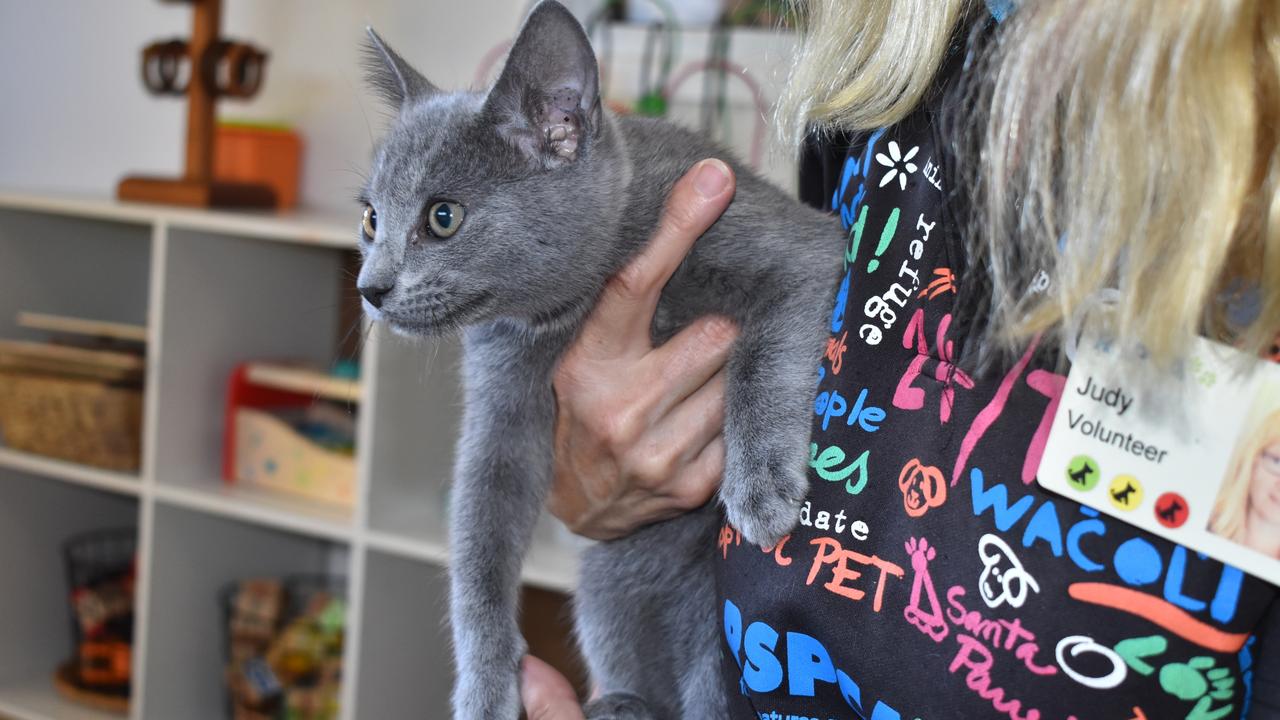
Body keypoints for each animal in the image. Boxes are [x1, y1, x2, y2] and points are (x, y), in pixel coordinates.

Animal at [358, 2, 839, 712]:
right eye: (370, 220)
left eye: (443, 217)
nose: (370, 287)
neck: (576, 304)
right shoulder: (506, 401)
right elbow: (480, 532)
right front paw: (485, 685)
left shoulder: (802, 248)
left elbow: (765, 354)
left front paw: (761, 486)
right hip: (609, 570)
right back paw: (622, 704)